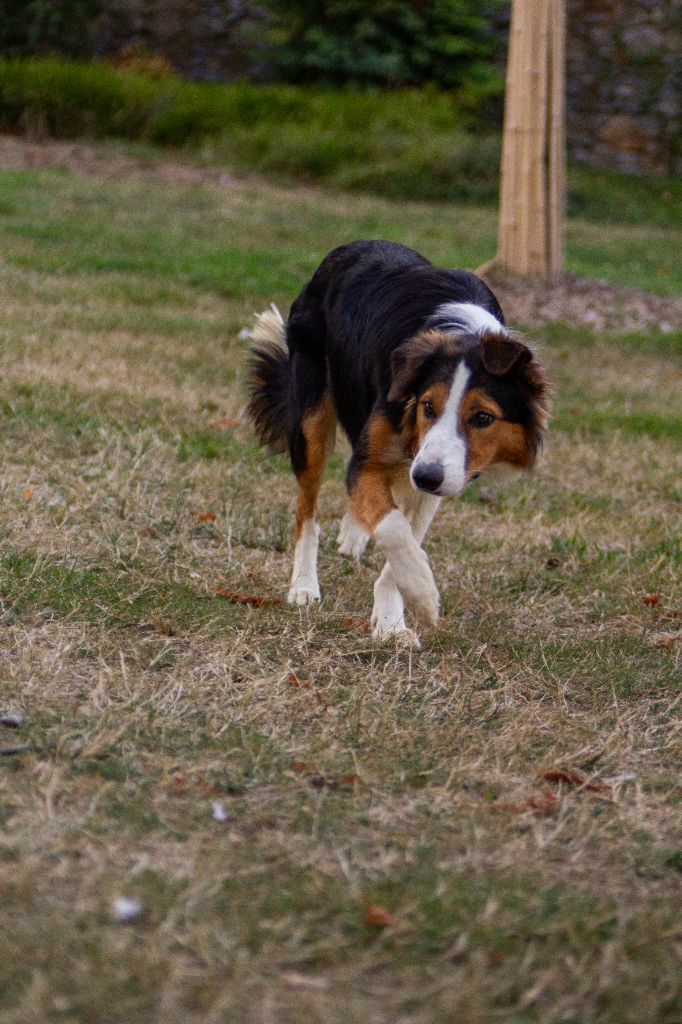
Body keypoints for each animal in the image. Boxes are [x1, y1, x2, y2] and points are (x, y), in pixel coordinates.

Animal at [244, 238, 548, 638]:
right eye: (428, 406)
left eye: (482, 418)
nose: (426, 477)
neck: (467, 337)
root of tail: (353, 246)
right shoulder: (377, 457)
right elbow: (393, 527)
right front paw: (422, 592)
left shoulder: (435, 473)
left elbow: (404, 536)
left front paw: (391, 622)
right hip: (311, 420)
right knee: (306, 508)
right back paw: (304, 585)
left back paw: (353, 533)